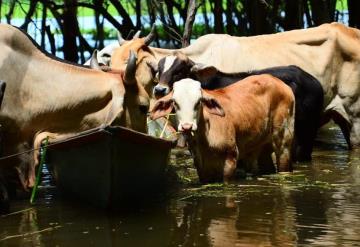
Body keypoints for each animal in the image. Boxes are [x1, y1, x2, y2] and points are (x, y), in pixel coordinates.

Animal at [150, 77, 294, 183]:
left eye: (198, 102)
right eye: (175, 103)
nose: (187, 126)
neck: (203, 140)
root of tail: (281, 83)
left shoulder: (231, 157)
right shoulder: (200, 165)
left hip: (283, 142)